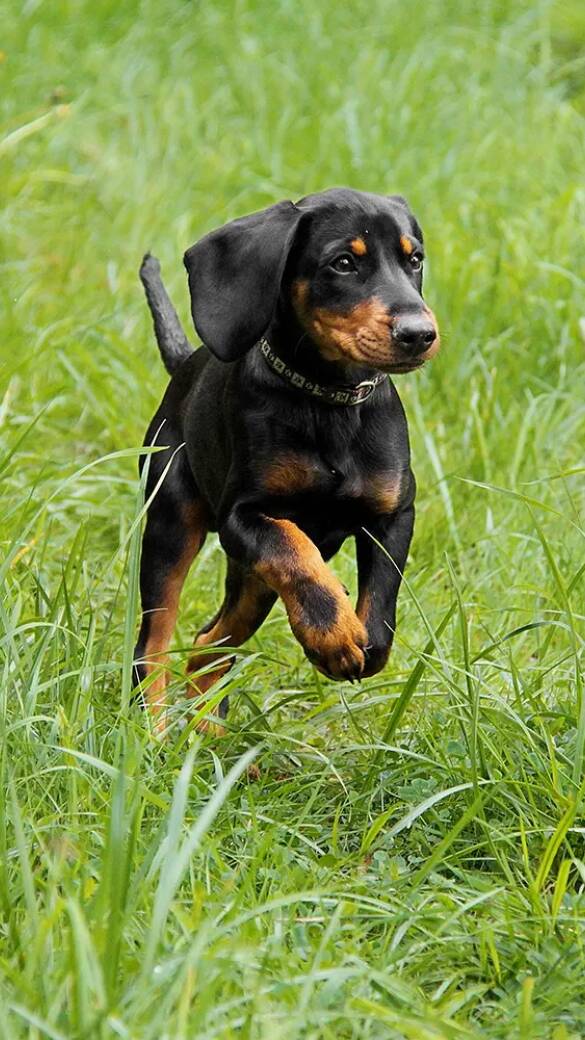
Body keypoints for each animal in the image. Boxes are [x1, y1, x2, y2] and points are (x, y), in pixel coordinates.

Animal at [133, 191, 437, 732]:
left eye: (415, 259)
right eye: (343, 263)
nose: (419, 333)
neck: (328, 401)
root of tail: (187, 364)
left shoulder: (393, 513)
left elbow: (380, 613)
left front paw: (350, 639)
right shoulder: (244, 517)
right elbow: (295, 553)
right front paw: (333, 635)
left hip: (251, 582)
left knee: (208, 644)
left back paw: (207, 731)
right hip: (171, 523)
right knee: (154, 646)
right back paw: (155, 733)